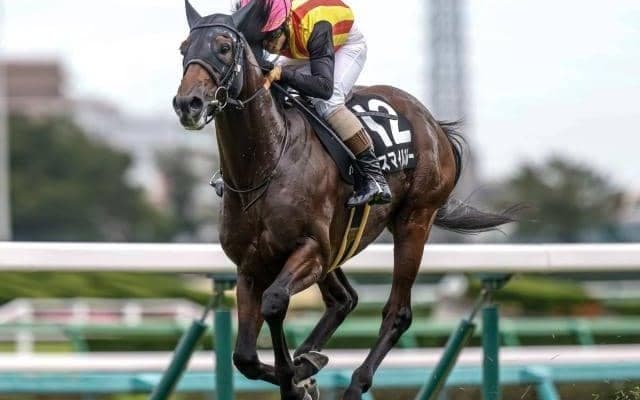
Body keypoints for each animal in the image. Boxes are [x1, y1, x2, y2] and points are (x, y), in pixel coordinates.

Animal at [173, 2, 516, 399]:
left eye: (225, 47)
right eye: (184, 49)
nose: (188, 103)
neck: (266, 163)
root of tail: (433, 124)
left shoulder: (310, 249)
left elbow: (275, 303)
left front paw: (294, 380)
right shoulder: (250, 265)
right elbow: (244, 357)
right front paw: (301, 373)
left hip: (414, 220)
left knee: (397, 311)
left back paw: (354, 382)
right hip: (339, 241)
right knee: (344, 300)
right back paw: (310, 356)